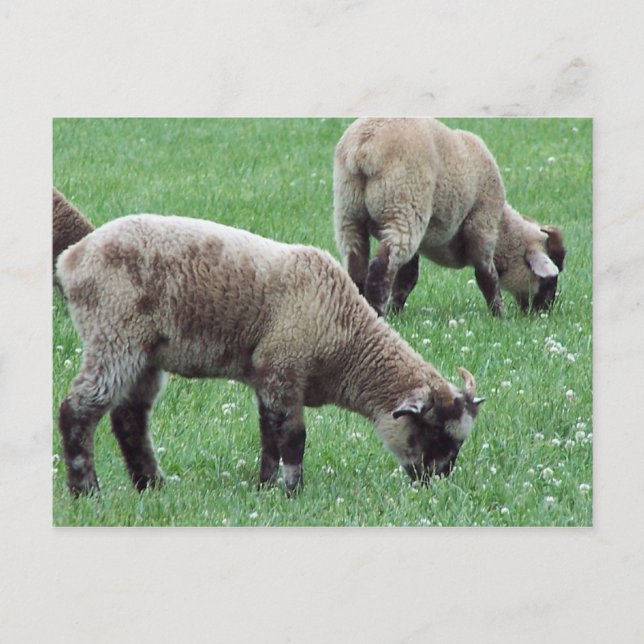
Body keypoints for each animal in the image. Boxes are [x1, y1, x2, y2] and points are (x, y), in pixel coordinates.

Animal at [56, 213, 483, 496]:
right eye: (434, 432)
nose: (437, 484)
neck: (348, 342)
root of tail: (73, 258)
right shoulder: (284, 370)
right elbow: (293, 439)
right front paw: (293, 491)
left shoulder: (268, 376)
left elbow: (268, 437)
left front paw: (264, 486)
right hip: (115, 335)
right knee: (78, 410)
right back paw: (87, 491)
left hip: (144, 353)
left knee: (130, 418)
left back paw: (151, 485)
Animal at [333, 117, 566, 317]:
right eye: (549, 280)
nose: (545, 312)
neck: (504, 229)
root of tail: (364, 147)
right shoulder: (482, 225)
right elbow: (487, 275)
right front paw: (499, 315)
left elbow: (407, 277)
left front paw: (397, 310)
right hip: (403, 208)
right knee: (381, 267)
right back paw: (377, 312)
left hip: (348, 213)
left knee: (356, 266)